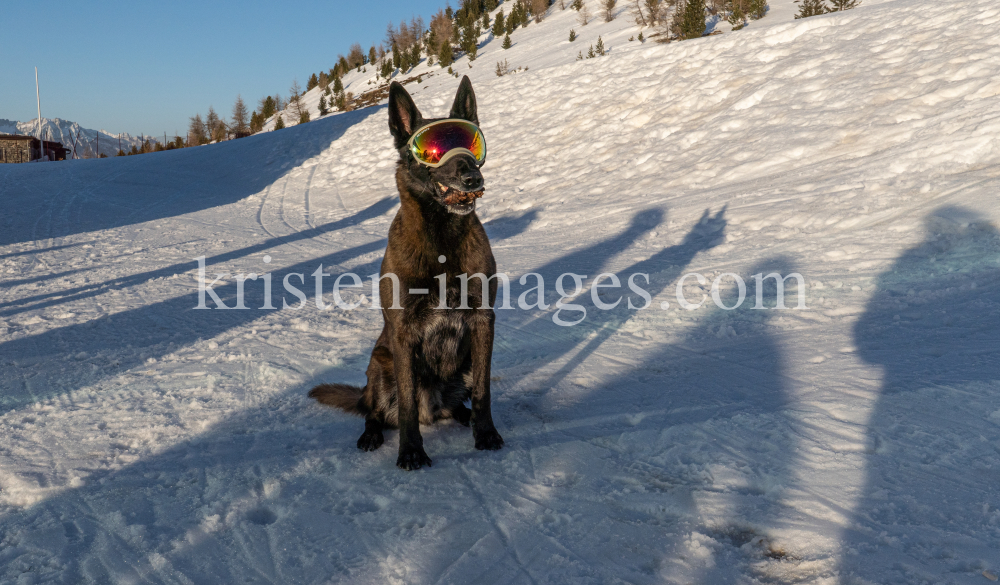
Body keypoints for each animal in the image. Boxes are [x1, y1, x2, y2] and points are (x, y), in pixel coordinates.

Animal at [308, 76, 504, 470]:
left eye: (471, 143)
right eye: (431, 150)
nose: (473, 177)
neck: (442, 240)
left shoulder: (483, 321)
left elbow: (483, 390)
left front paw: (485, 433)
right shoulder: (401, 334)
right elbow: (408, 402)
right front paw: (411, 451)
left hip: (460, 367)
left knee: (457, 404)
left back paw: (464, 417)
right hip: (379, 365)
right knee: (374, 412)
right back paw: (371, 435)